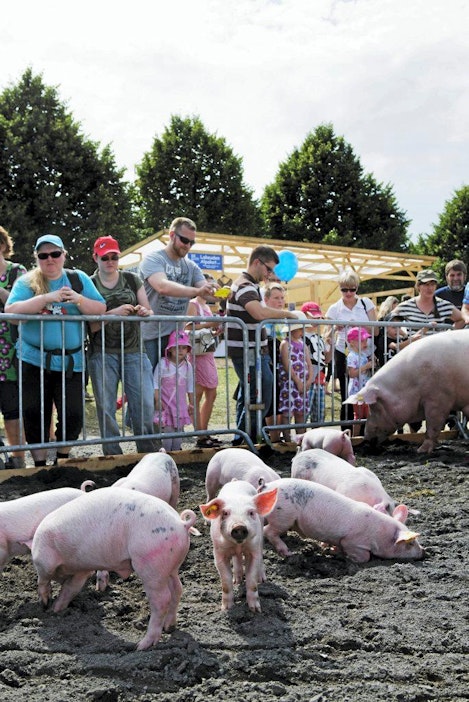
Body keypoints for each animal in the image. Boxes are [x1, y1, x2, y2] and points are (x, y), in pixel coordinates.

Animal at [31, 488, 198, 650]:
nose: (49, 608)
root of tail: (181, 524)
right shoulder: (82, 570)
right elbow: (70, 588)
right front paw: (56, 609)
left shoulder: (43, 560)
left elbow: (43, 579)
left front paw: (45, 604)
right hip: (170, 567)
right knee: (177, 589)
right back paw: (169, 627)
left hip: (151, 565)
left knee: (162, 600)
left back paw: (141, 646)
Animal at [200, 480, 278, 612]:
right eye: (225, 513)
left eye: (251, 512)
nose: (239, 526)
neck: (238, 545)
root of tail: (236, 481)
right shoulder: (218, 553)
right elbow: (226, 581)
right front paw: (226, 609)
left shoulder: (253, 550)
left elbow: (252, 580)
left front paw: (255, 610)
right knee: (237, 559)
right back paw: (237, 580)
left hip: (260, 534)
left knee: (260, 555)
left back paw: (261, 579)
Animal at [258, 478, 423, 563]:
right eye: (410, 543)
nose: (424, 551)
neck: (379, 534)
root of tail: (266, 486)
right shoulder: (353, 542)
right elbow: (364, 557)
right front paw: (343, 556)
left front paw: (329, 549)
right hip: (283, 517)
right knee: (268, 531)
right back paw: (288, 553)